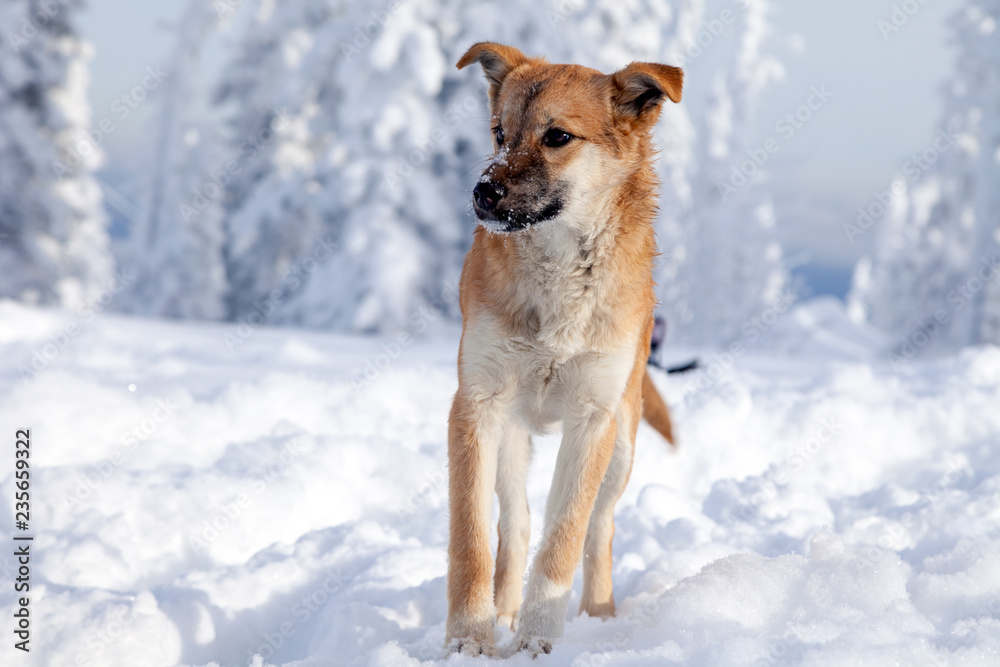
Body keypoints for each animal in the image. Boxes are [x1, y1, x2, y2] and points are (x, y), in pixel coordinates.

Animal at [450, 41, 684, 656]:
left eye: (557, 136)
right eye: (499, 132)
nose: (483, 192)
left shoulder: (591, 418)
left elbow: (565, 540)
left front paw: (537, 640)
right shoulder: (476, 406)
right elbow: (471, 539)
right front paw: (469, 639)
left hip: (621, 443)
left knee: (599, 529)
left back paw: (599, 616)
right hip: (510, 439)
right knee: (516, 523)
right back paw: (504, 610)